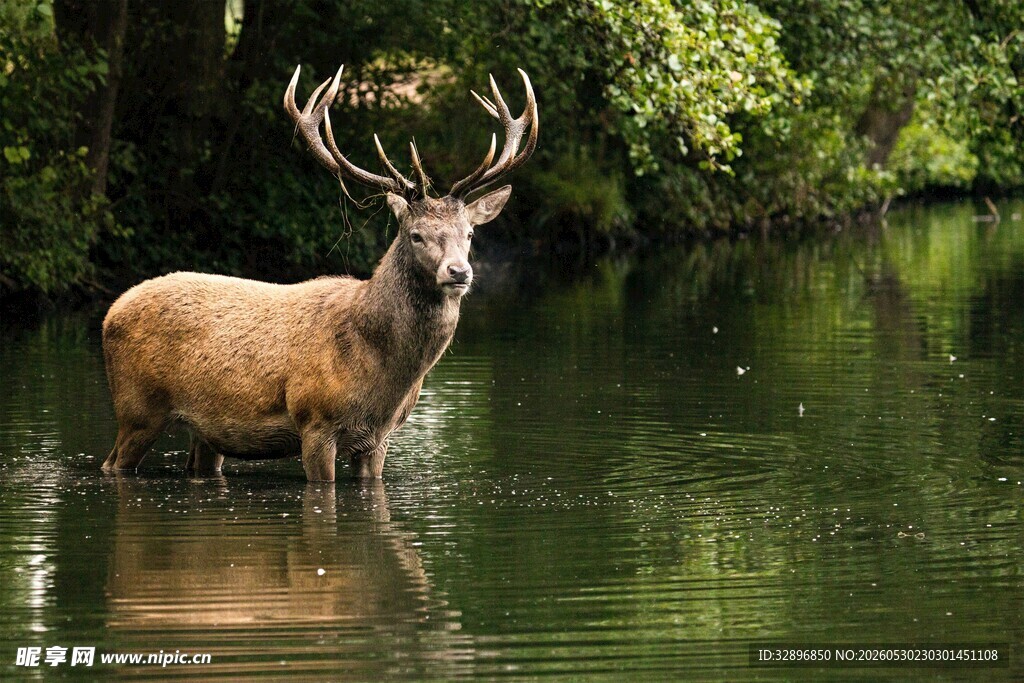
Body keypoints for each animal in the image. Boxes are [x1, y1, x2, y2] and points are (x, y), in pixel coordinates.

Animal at [101, 63, 538, 481]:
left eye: (469, 233)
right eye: (416, 234)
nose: (458, 272)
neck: (382, 378)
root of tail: (111, 312)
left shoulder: (379, 439)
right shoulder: (315, 421)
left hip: (206, 432)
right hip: (137, 407)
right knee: (113, 462)